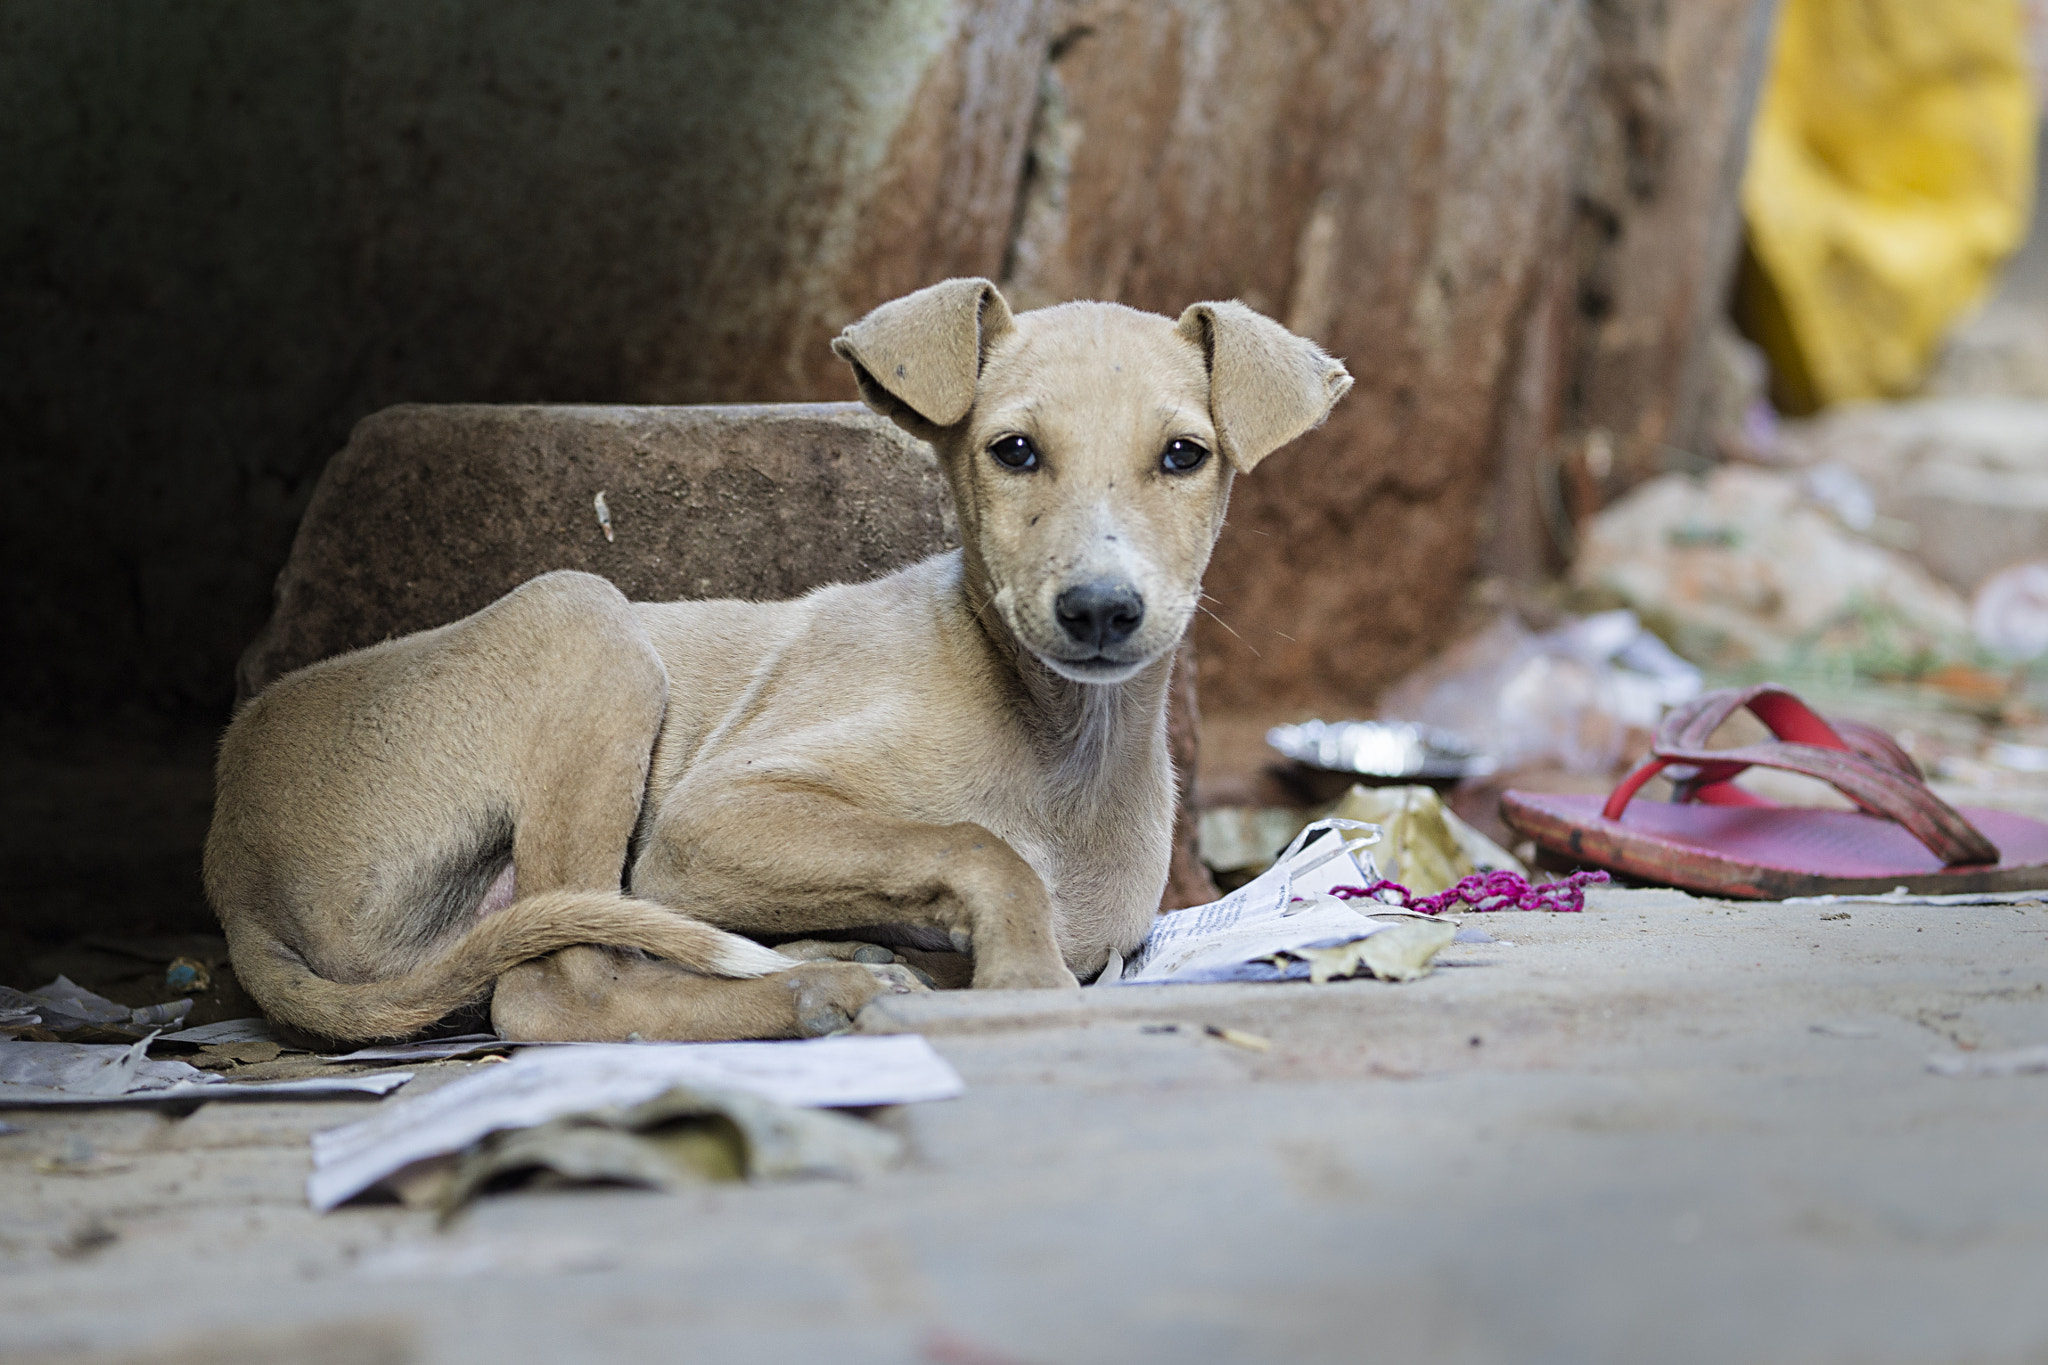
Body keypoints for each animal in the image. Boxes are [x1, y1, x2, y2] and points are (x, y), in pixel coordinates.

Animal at [203, 280, 1343, 1047]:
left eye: (1184, 455)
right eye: (1012, 450)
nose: (1101, 609)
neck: (1059, 734)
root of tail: (229, 854)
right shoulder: (706, 821)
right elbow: (973, 842)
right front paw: (1018, 967)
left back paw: (836, 963)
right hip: (584, 620)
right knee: (550, 991)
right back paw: (814, 994)